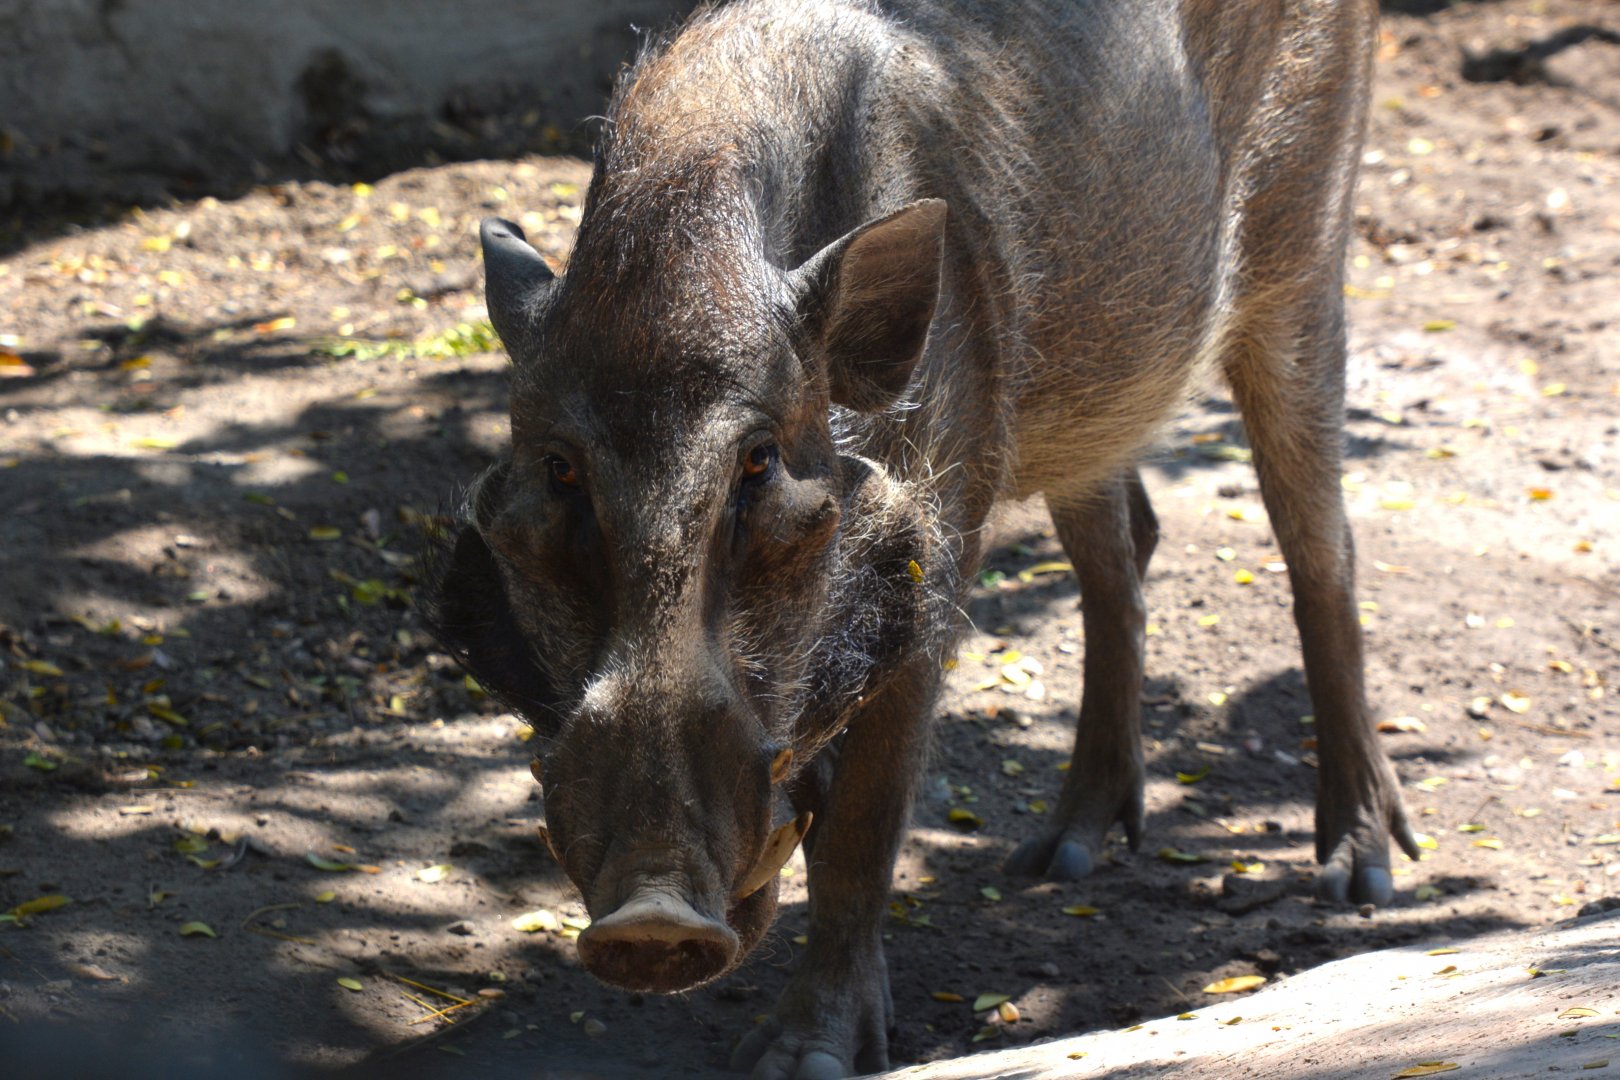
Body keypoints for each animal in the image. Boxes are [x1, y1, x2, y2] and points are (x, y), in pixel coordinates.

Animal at [424, 0, 1418, 1076]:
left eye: (759, 462)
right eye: (561, 471)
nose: (649, 924)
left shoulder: (939, 540)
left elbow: (865, 821)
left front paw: (802, 1059)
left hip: (1306, 253)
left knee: (1322, 550)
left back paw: (1360, 878)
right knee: (1124, 550)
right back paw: (1058, 858)